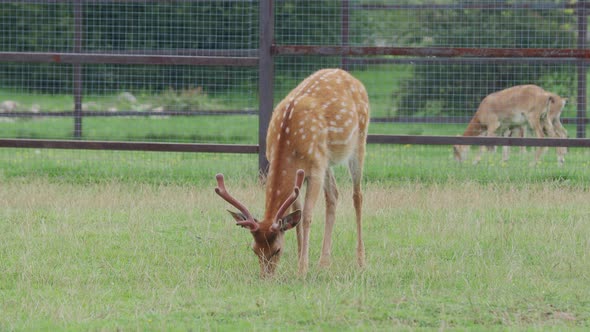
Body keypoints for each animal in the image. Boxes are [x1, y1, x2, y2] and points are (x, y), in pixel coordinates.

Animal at [215, 68, 370, 278]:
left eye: (277, 250)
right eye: (254, 249)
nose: (266, 277)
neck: (288, 144)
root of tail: (350, 77)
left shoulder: (315, 170)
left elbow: (306, 217)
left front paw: (302, 270)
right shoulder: (303, 171)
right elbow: (297, 217)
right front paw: (300, 259)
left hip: (359, 140)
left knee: (357, 196)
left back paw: (360, 261)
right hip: (326, 159)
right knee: (333, 195)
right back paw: (324, 263)